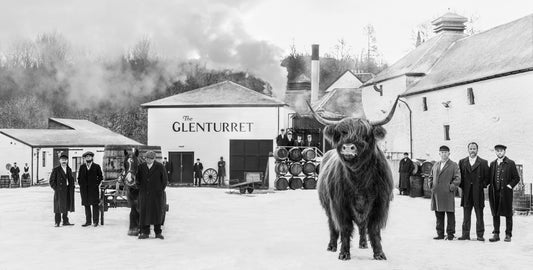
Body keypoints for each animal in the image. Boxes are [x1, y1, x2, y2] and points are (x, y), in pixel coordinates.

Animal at [308, 96, 394, 260]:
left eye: (365, 135)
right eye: (342, 133)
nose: (348, 147)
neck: (359, 179)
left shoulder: (380, 204)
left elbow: (374, 229)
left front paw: (379, 254)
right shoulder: (339, 204)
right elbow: (345, 228)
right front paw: (344, 253)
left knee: (362, 226)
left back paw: (363, 244)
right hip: (328, 207)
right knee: (333, 225)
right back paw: (332, 246)